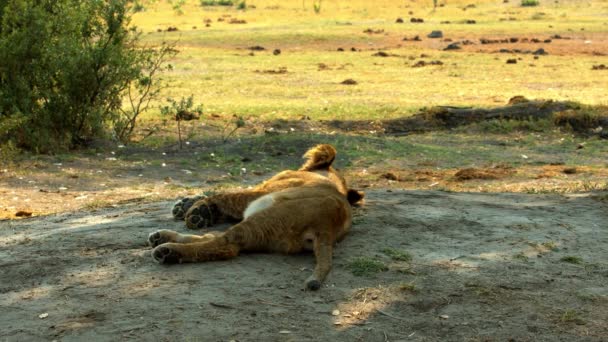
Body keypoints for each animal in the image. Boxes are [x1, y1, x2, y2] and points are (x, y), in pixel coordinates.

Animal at [147, 144, 364, 292]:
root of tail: (328, 226)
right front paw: (194, 209)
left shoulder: (257, 193)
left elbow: (223, 194)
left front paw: (195, 209)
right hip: (263, 228)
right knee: (213, 238)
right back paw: (162, 238)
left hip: (263, 217)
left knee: (224, 245)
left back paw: (167, 251)